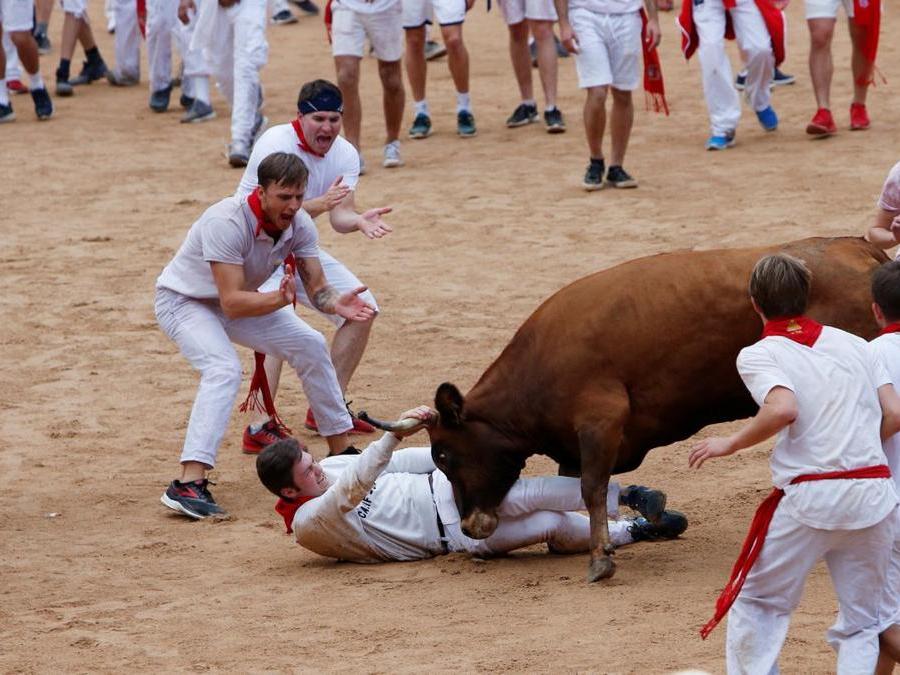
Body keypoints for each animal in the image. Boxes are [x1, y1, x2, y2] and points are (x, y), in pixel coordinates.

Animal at [428, 236, 884, 580]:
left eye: (445, 455)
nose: (468, 526)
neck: (538, 364)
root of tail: (856, 246)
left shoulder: (601, 421)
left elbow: (591, 488)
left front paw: (601, 558)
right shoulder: (574, 447)